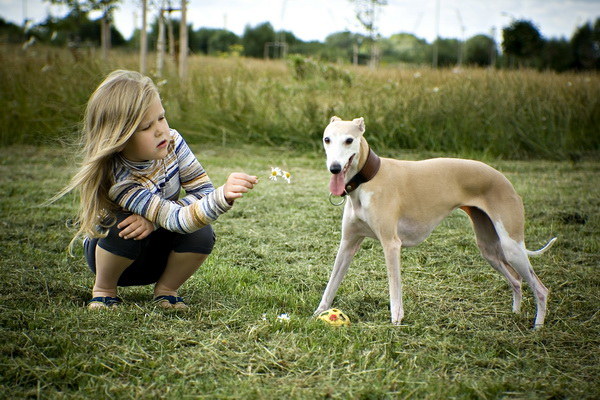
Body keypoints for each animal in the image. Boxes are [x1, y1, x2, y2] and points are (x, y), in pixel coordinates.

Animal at [314, 116, 556, 329]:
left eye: (349, 140)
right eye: (327, 139)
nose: (334, 168)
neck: (368, 179)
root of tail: (504, 179)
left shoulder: (391, 244)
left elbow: (394, 286)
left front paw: (396, 321)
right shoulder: (348, 243)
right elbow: (332, 283)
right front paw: (317, 313)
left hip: (511, 246)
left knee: (540, 289)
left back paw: (538, 327)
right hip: (489, 248)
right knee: (516, 280)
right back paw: (515, 314)